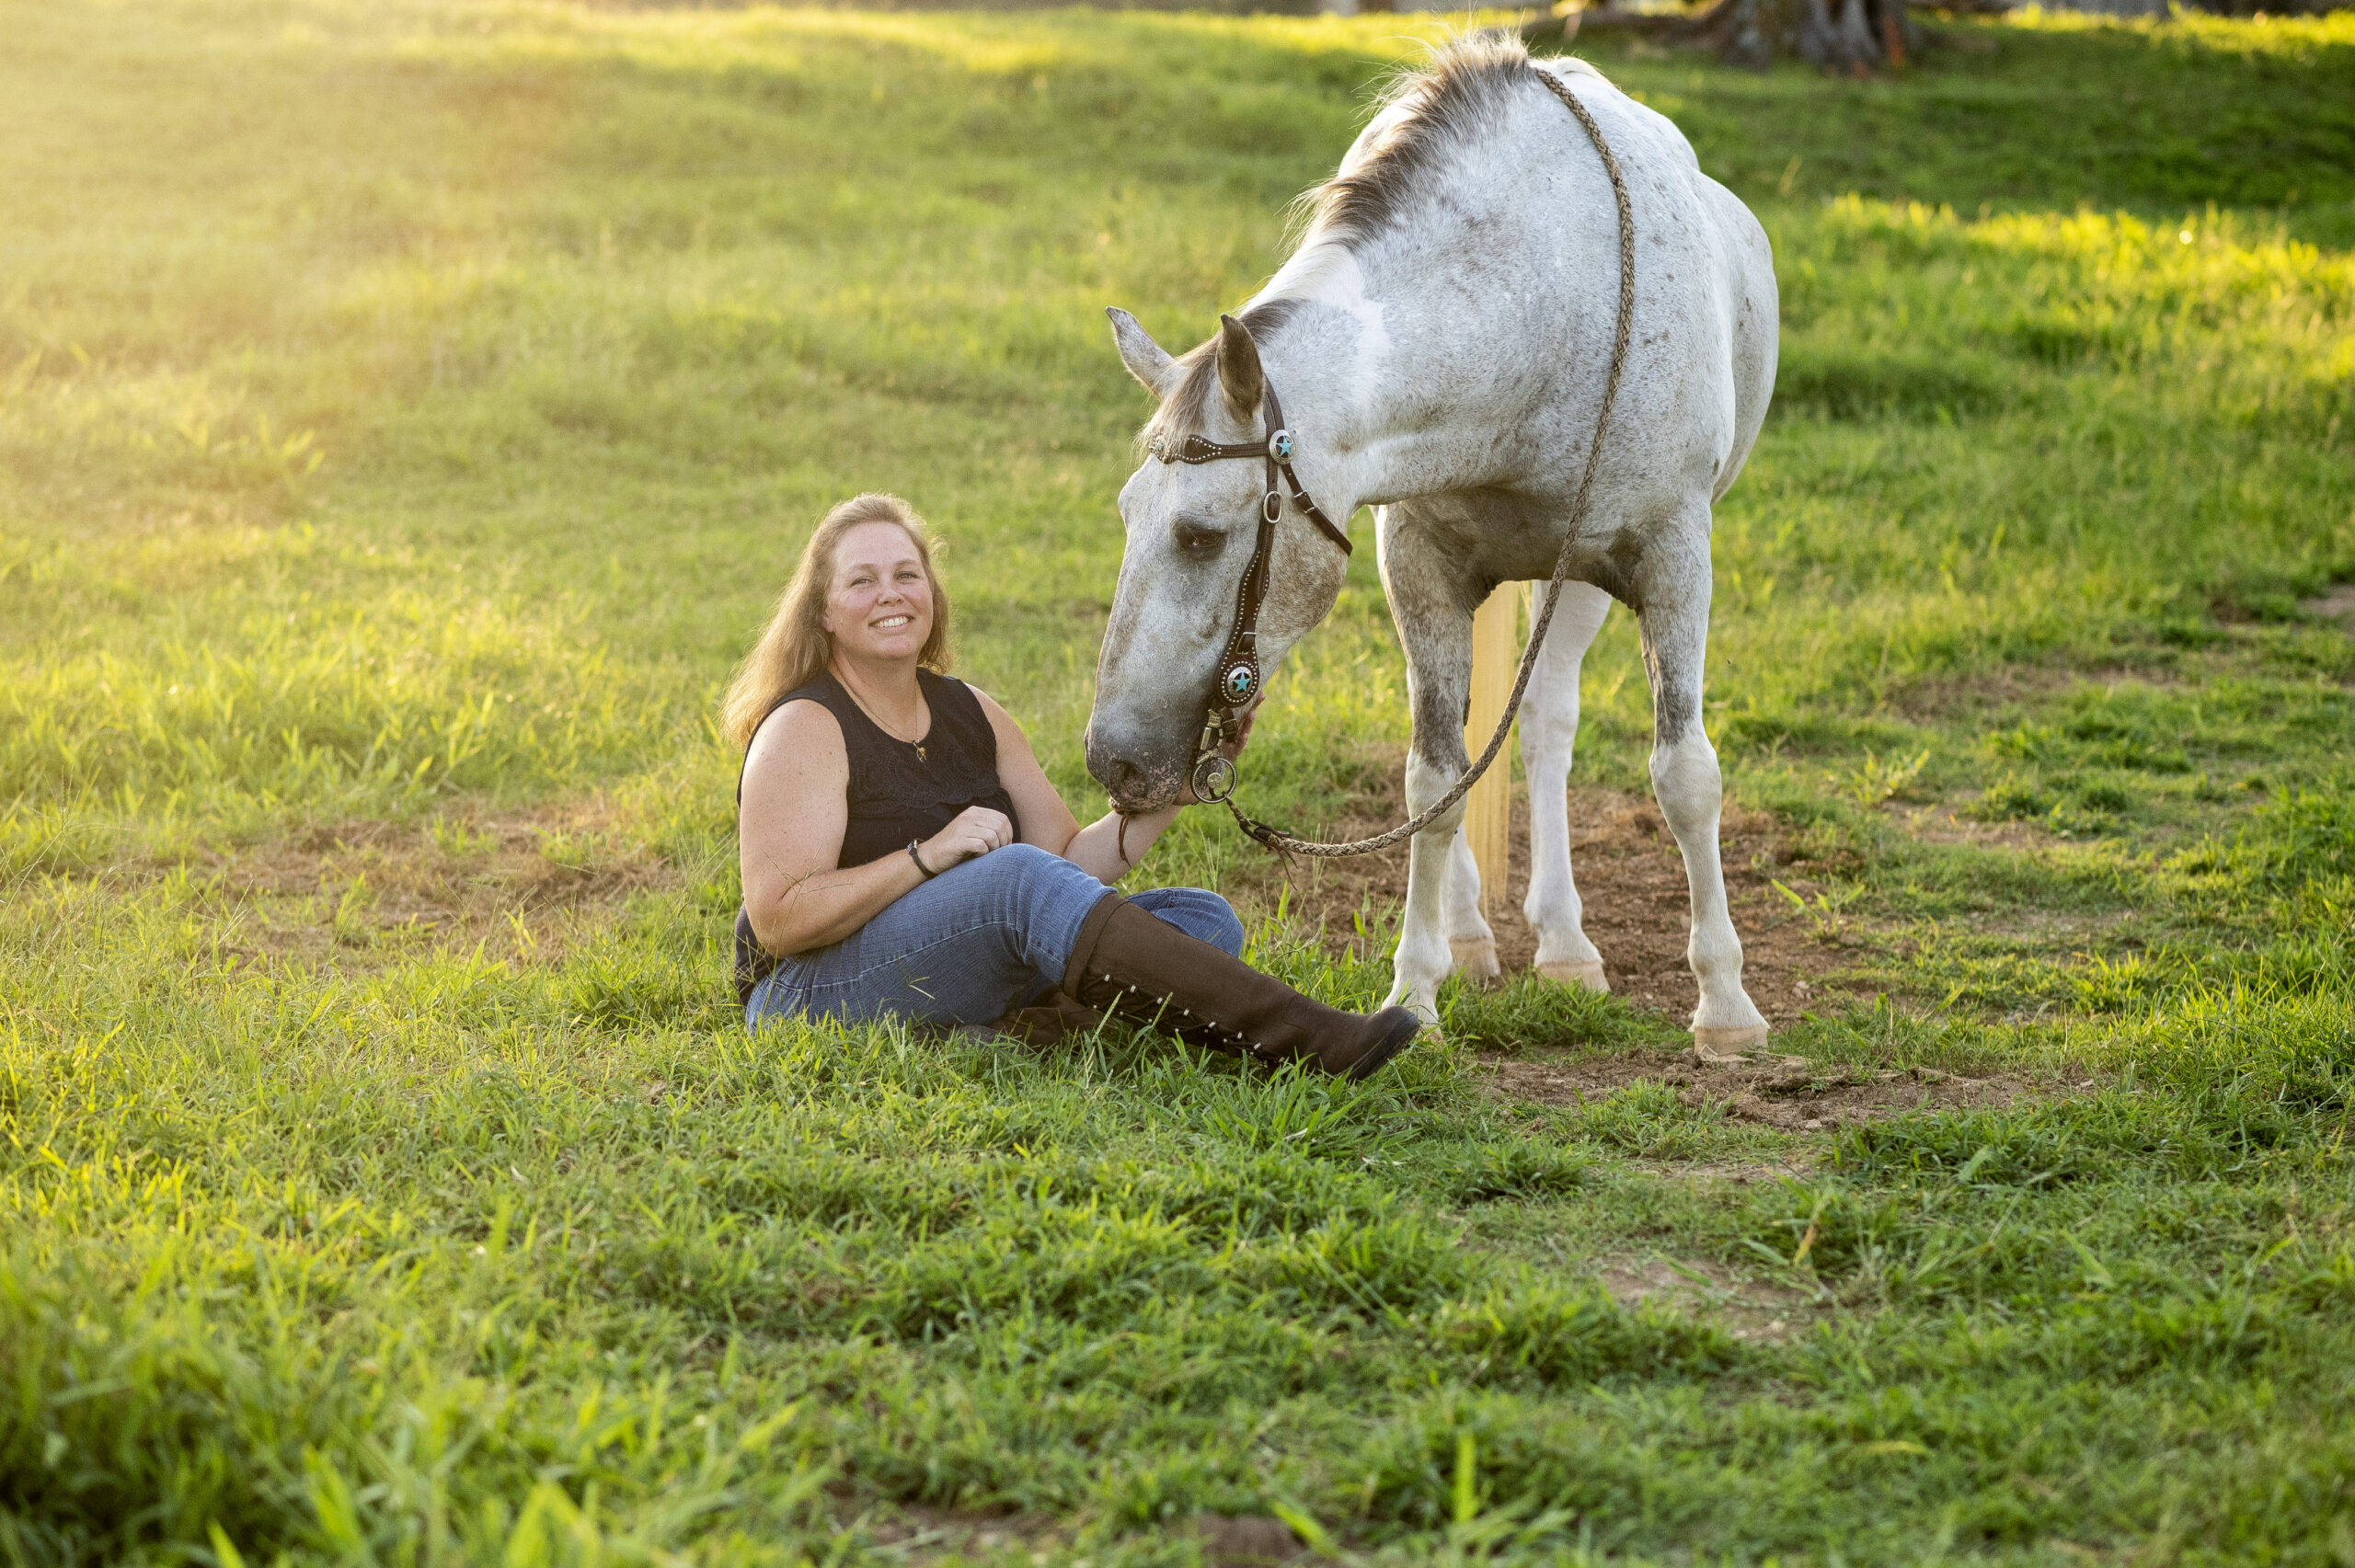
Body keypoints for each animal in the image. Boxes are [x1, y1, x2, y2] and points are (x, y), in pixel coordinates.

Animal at [1083, 36, 1771, 1045]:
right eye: (1129, 514)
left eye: (1203, 536)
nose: (1113, 761)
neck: (1535, 307)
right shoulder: (1419, 565)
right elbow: (1432, 782)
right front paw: (1416, 990)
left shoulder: (1671, 556)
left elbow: (1685, 773)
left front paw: (1725, 1003)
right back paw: (1477, 935)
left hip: (1577, 579)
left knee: (1547, 721)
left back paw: (1566, 944)